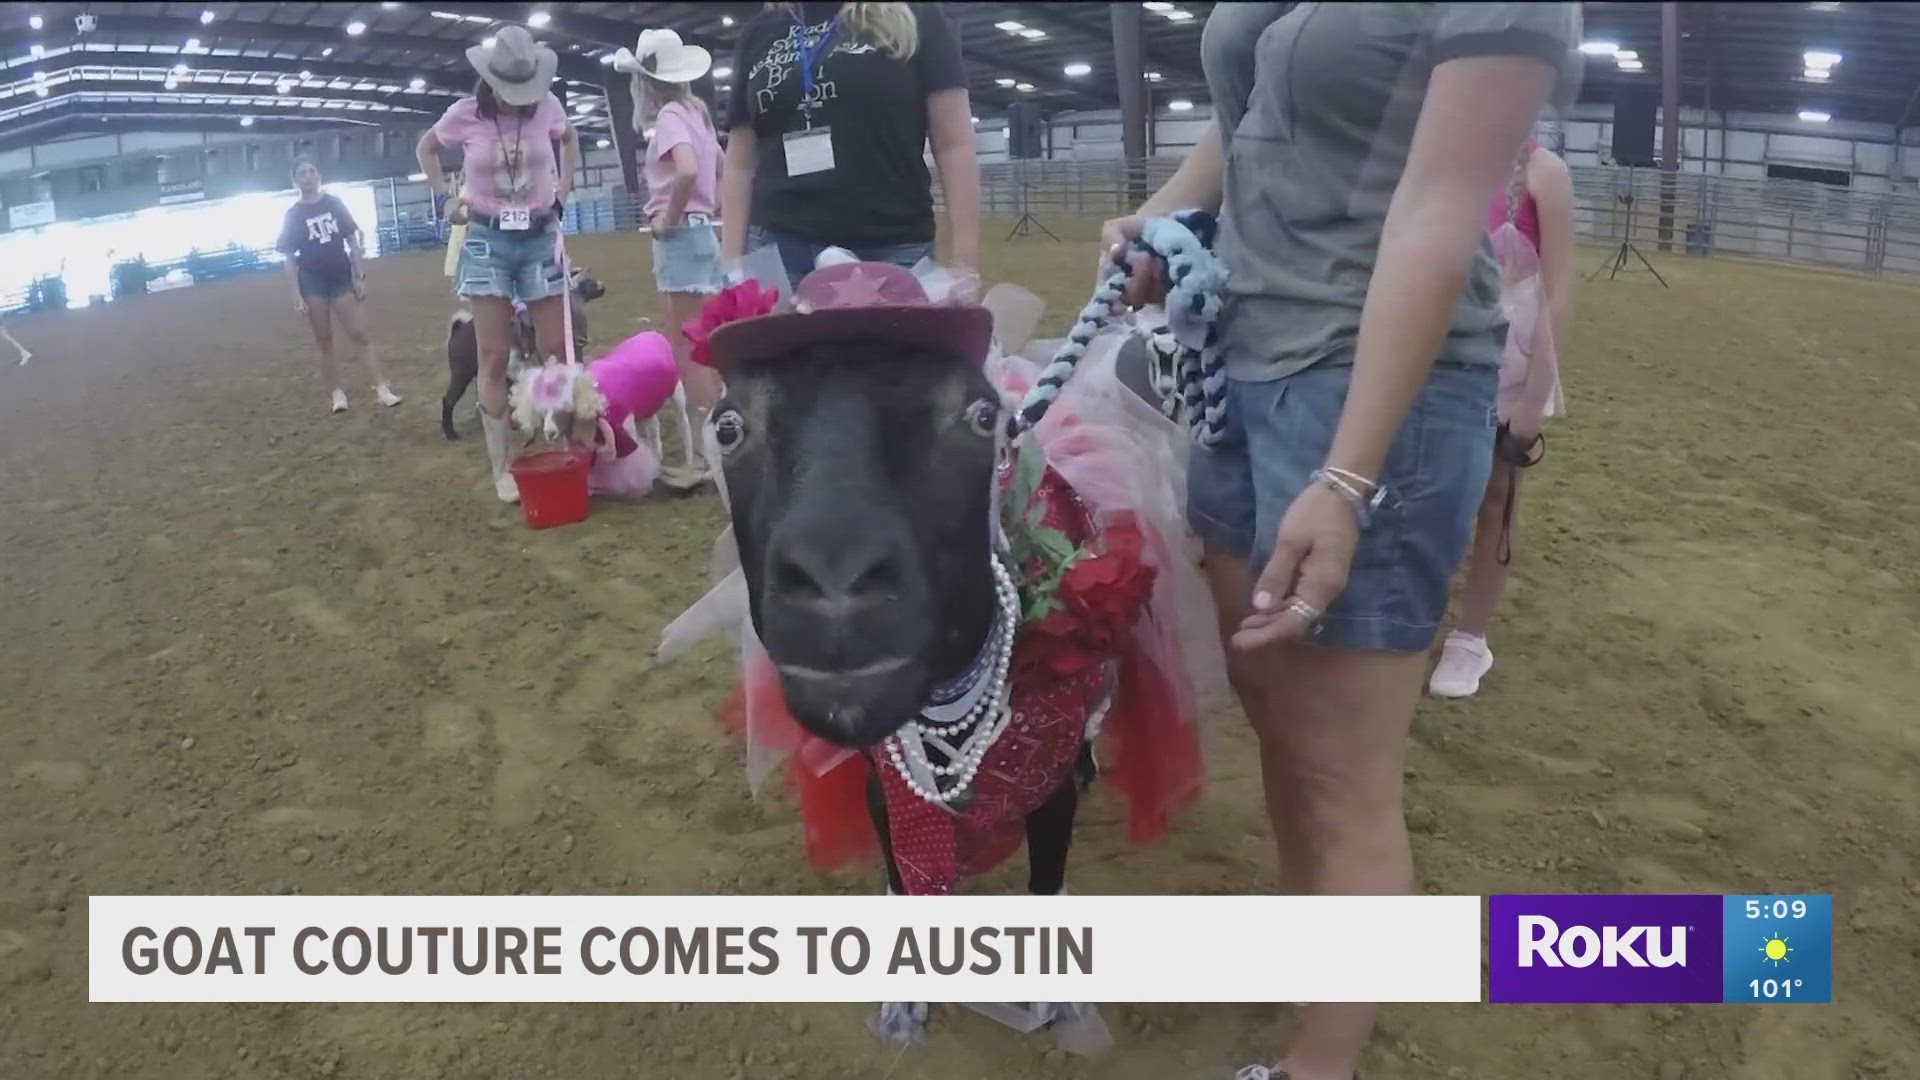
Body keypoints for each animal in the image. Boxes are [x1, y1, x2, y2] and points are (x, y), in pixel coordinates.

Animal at [443, 270, 606, 440]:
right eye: (585, 282)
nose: (602, 286)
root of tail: (457, 329)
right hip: (462, 374)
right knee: (448, 400)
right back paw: (451, 433)